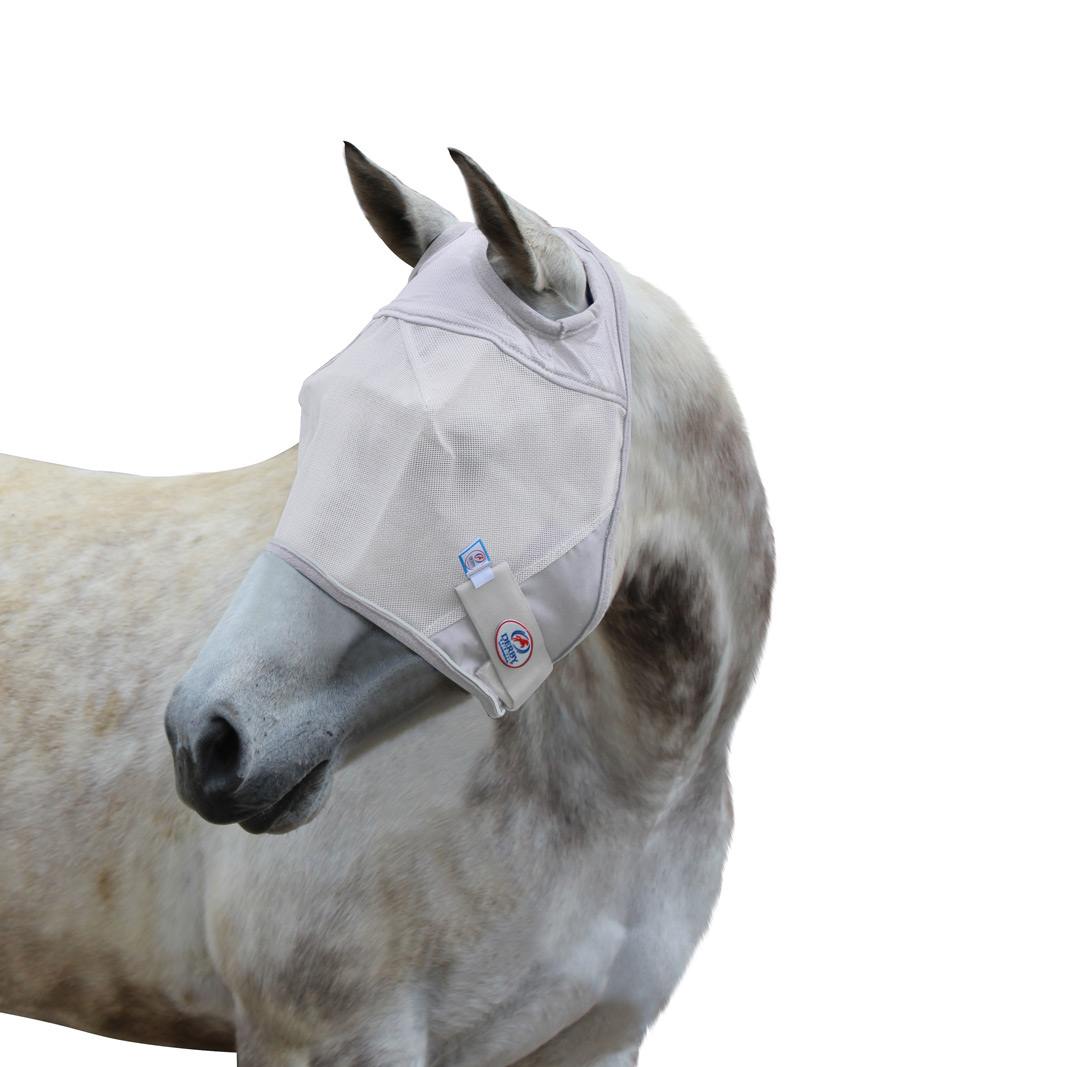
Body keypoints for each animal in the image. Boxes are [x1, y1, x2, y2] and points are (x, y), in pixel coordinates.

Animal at [0, 146, 774, 1065]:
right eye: (317, 406)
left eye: (453, 439)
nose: (207, 740)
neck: (623, 798)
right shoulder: (328, 1034)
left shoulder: (600, 1038)